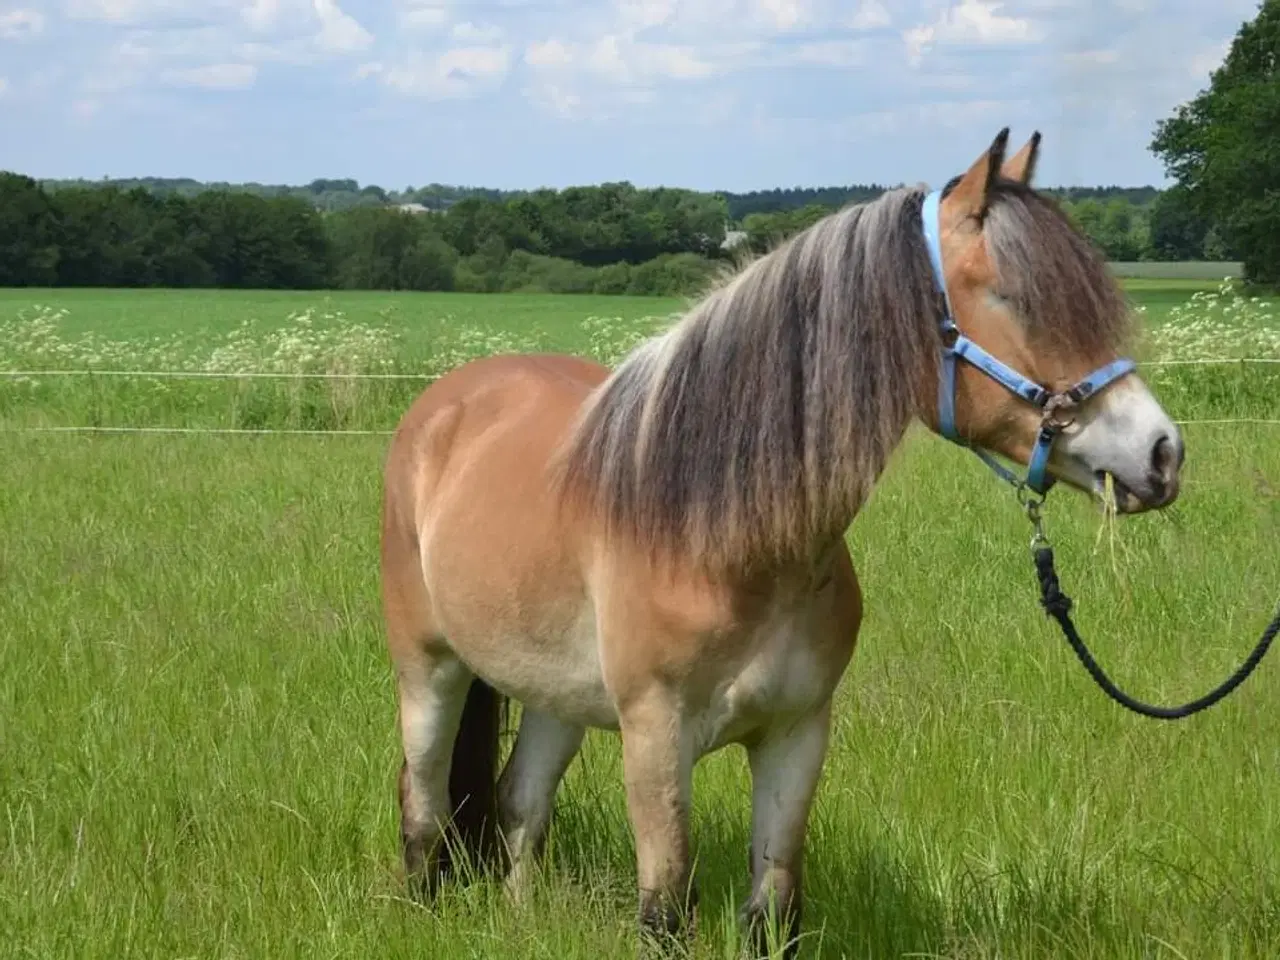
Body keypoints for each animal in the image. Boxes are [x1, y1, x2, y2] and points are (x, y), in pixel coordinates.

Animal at [378, 129, 1187, 960]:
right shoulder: (654, 738)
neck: (723, 540)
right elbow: (666, 912)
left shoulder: (797, 736)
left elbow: (773, 907)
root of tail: (447, 403)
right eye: (1011, 298)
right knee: (424, 798)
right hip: (430, 668)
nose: (1161, 453)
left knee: (520, 804)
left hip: (555, 694)